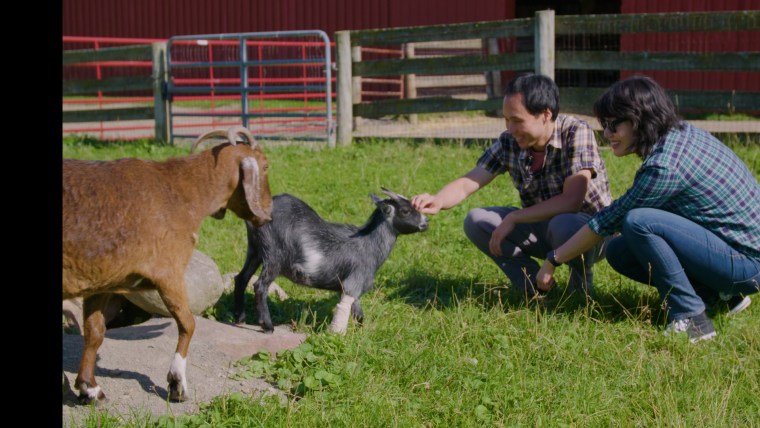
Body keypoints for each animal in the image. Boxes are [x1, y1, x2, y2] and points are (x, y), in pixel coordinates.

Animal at [61, 127, 274, 404]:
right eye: (266, 166)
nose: (269, 212)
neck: (182, 192)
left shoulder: (102, 280)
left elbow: (95, 331)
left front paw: (90, 388)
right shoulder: (168, 273)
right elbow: (188, 323)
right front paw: (177, 383)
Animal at [233, 188, 428, 334]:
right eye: (405, 211)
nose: (426, 223)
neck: (368, 243)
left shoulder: (351, 289)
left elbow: (358, 314)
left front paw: (359, 333)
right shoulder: (353, 282)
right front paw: (337, 334)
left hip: (255, 250)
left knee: (241, 278)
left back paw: (239, 319)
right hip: (273, 255)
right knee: (260, 285)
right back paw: (267, 326)